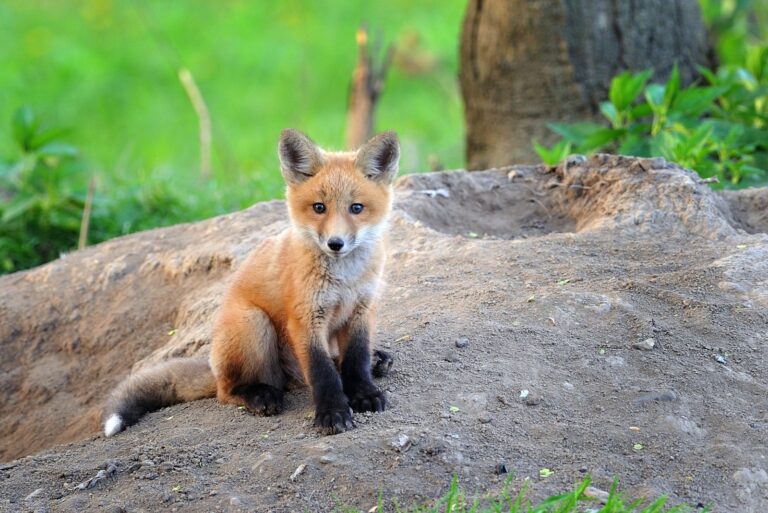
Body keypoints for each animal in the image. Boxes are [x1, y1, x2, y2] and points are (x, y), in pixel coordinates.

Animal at [102, 129, 399, 437]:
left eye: (356, 208)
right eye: (319, 208)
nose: (335, 243)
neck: (344, 280)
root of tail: (214, 366)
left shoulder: (362, 310)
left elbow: (356, 361)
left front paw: (364, 393)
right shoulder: (305, 319)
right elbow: (323, 373)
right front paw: (333, 412)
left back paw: (377, 359)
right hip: (254, 324)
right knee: (228, 391)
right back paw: (258, 395)